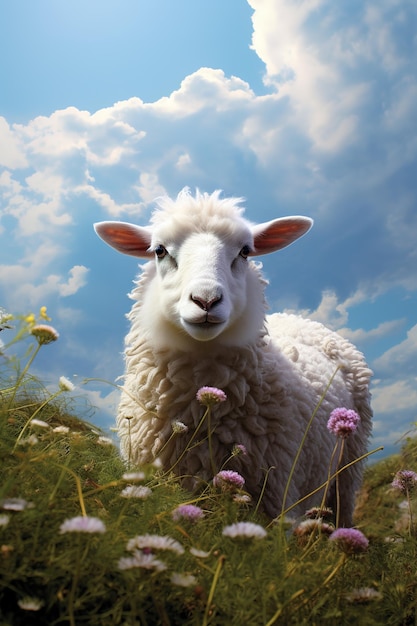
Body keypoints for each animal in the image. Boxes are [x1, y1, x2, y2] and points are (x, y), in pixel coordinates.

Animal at [95, 188, 374, 524]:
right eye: (159, 250)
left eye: (244, 251)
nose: (206, 300)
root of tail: (303, 320)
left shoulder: (271, 499)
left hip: (348, 469)